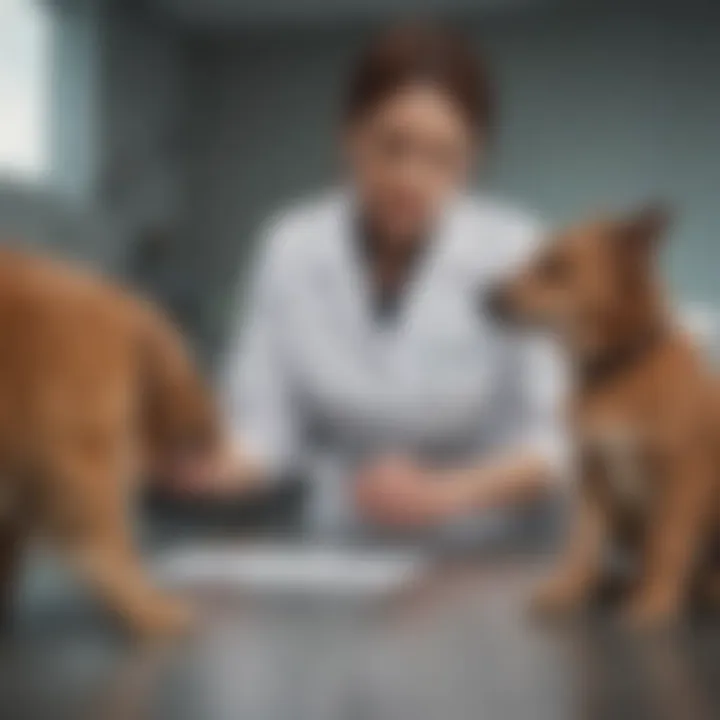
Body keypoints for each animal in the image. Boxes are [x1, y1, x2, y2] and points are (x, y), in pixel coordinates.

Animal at [484, 205, 720, 628]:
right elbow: (582, 544)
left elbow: (668, 543)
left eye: (555, 266)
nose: (484, 298)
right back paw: (614, 584)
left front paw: (655, 602)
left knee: (689, 567)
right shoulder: (592, 477)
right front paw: (566, 588)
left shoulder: (683, 478)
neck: (616, 369)